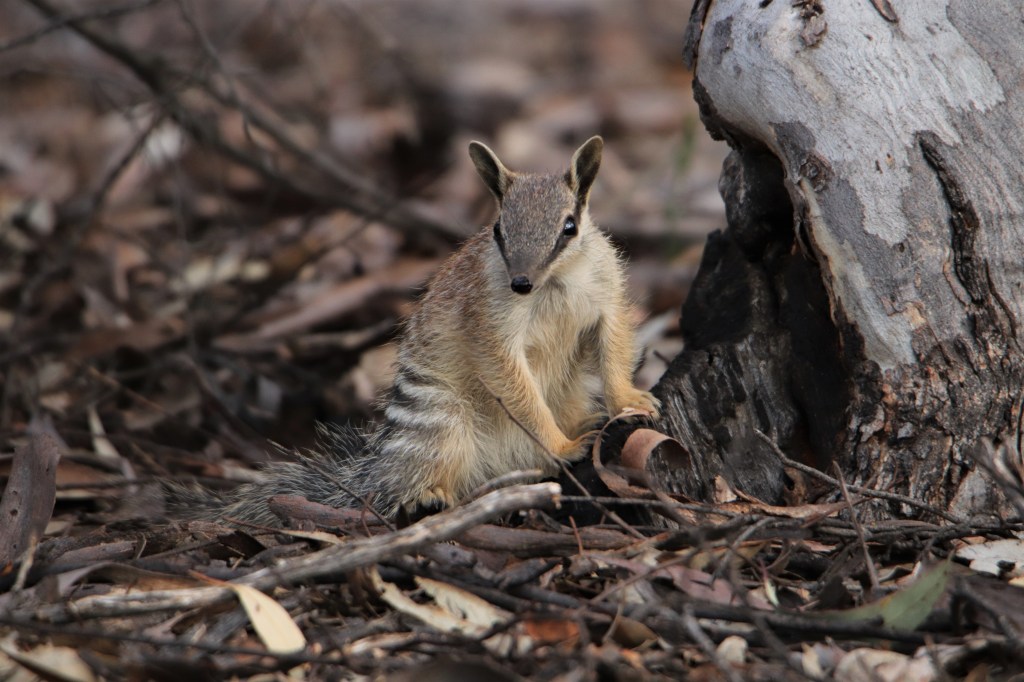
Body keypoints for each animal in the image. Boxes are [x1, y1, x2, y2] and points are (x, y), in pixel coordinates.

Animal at [170, 136, 660, 525]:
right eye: (498, 229)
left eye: (569, 227)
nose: (520, 282)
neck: (554, 283)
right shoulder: (490, 326)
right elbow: (514, 385)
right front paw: (561, 445)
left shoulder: (607, 298)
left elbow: (615, 343)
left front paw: (629, 399)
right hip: (444, 424)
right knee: (423, 481)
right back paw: (429, 496)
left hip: (564, 392)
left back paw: (582, 422)